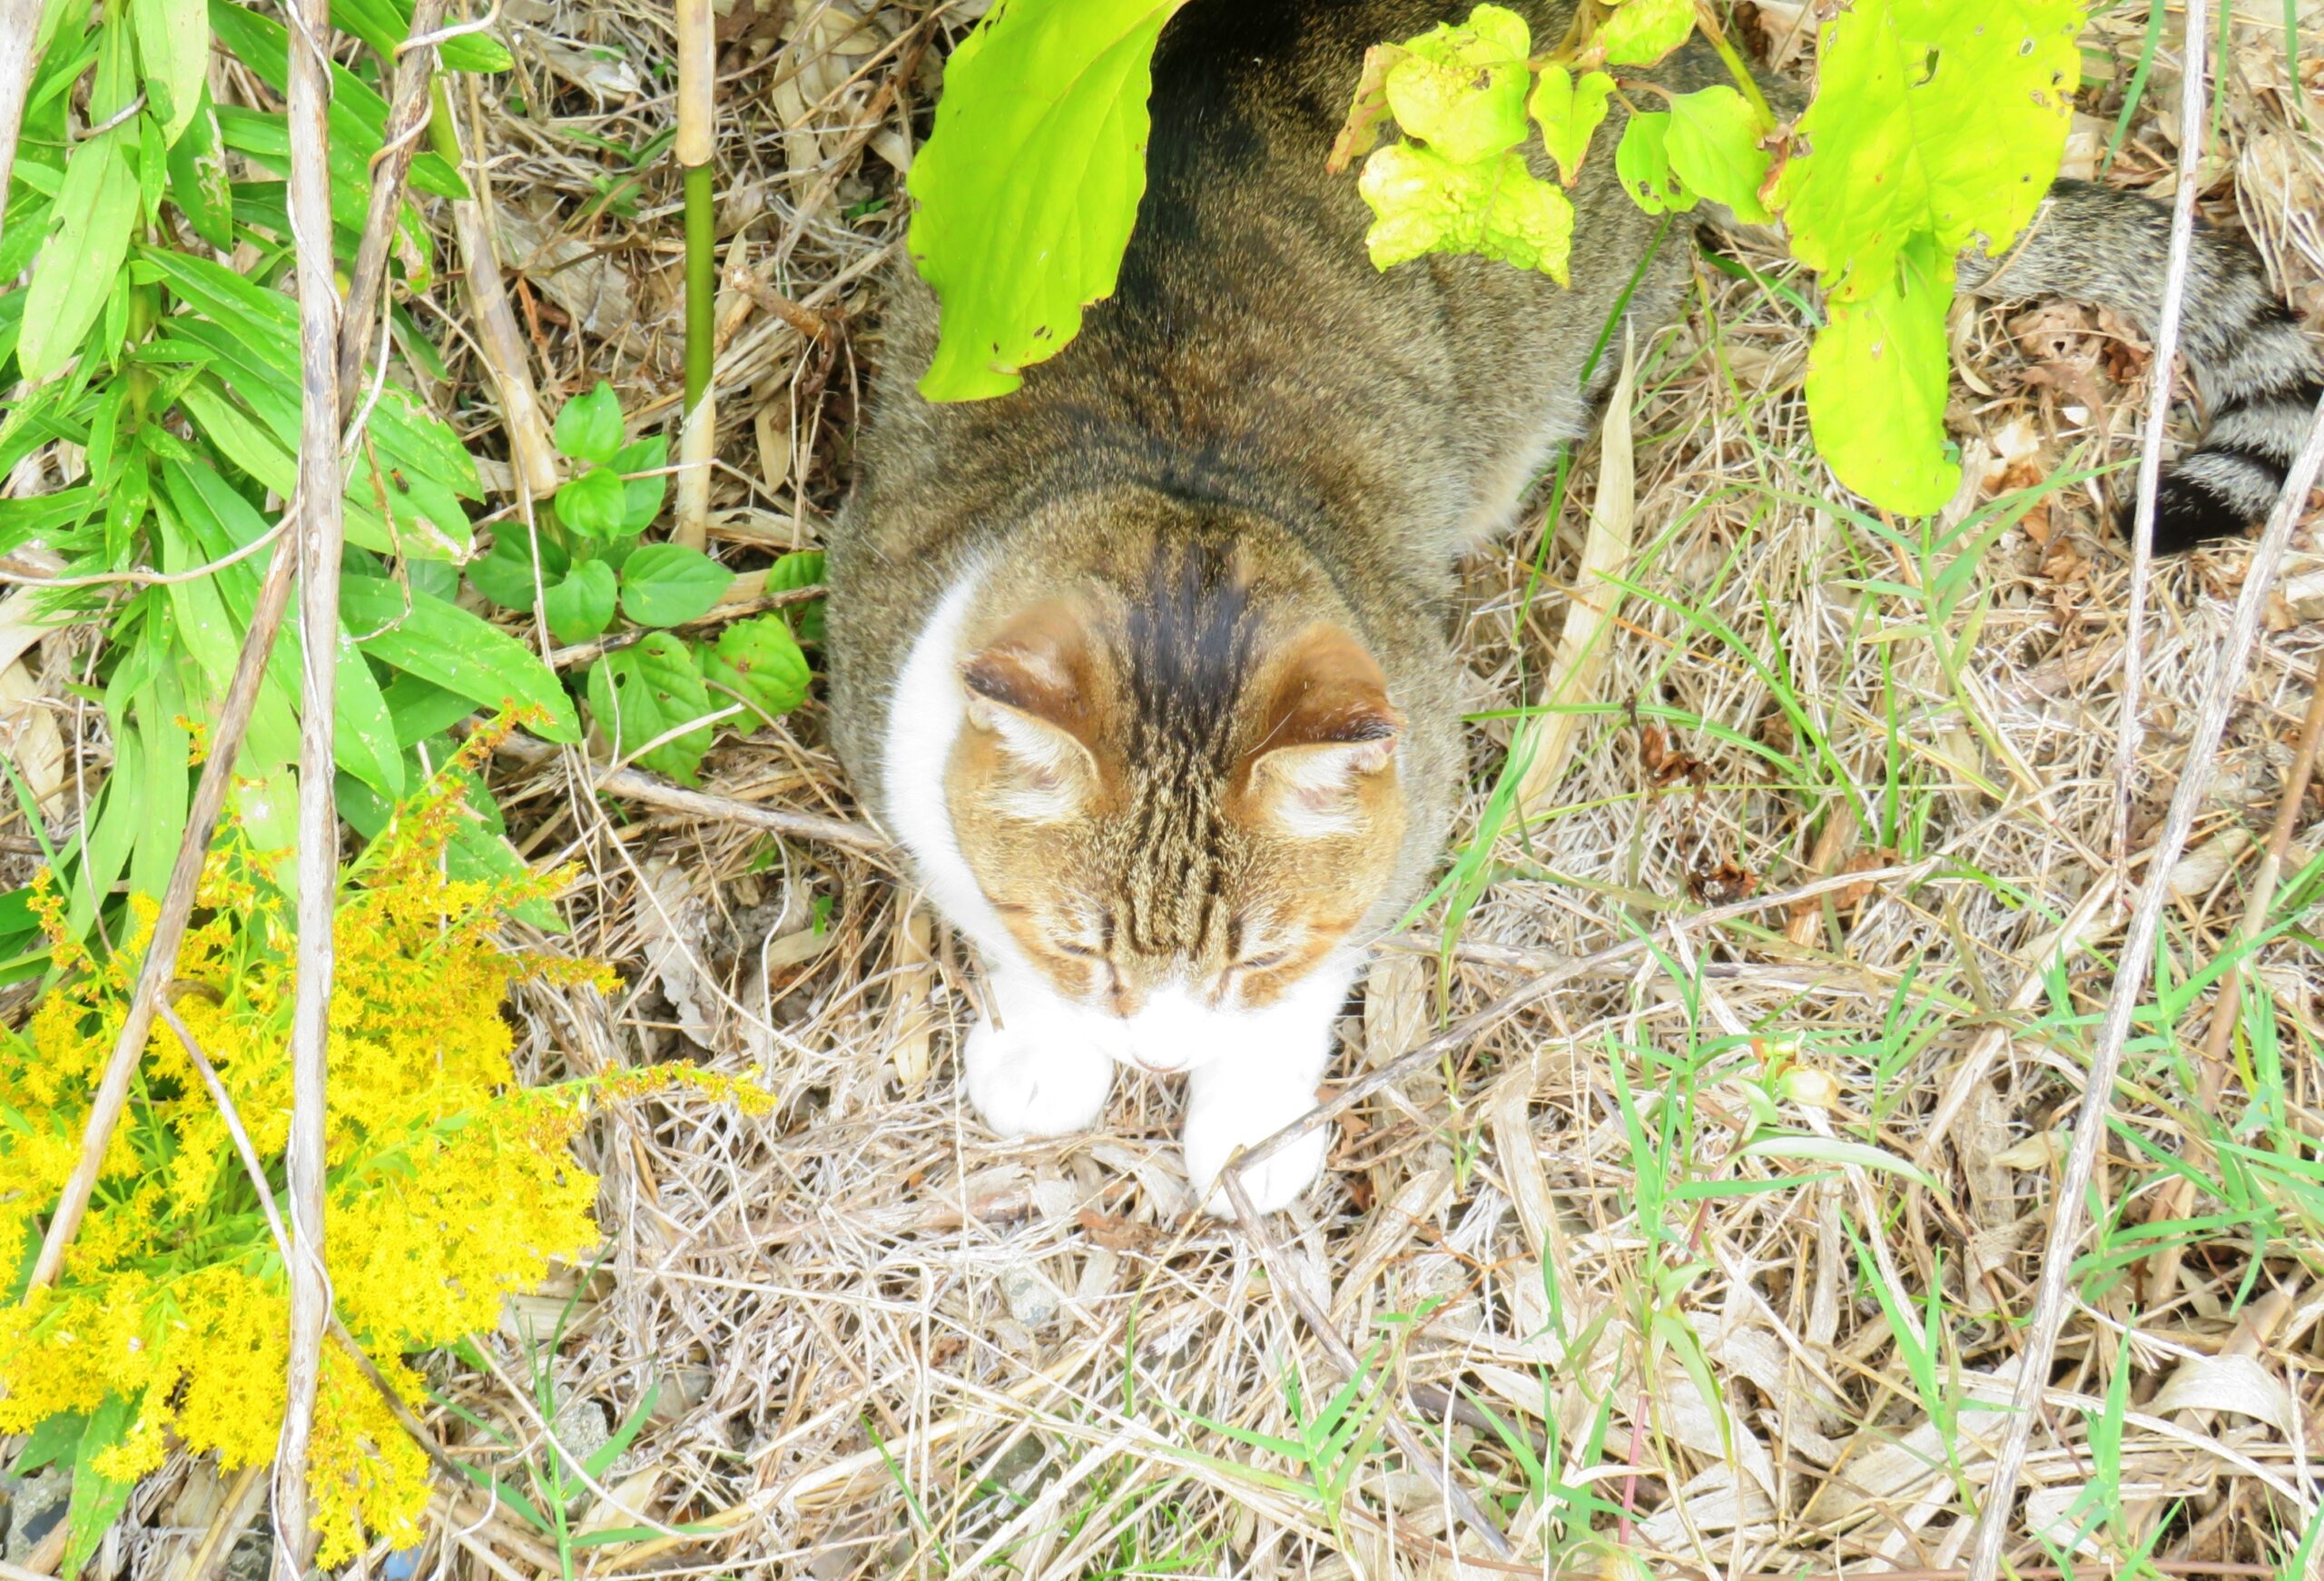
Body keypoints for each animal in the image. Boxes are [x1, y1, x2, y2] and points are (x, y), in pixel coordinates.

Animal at [827, 0, 2314, 1218]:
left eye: (1256, 956)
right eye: (1085, 943)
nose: (1159, 1051)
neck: (1168, 473)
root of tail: (1697, 63)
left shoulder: (1416, 761)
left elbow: (1338, 952)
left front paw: (1244, 1118)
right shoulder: (890, 685)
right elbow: (986, 915)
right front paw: (1052, 1051)